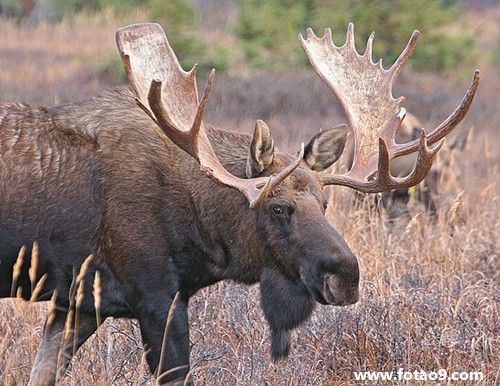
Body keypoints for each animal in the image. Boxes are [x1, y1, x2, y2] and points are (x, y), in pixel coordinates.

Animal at [0, 22, 478, 384]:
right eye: (278, 207)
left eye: (325, 203)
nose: (346, 276)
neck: (201, 236)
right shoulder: (155, 296)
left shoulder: (77, 302)